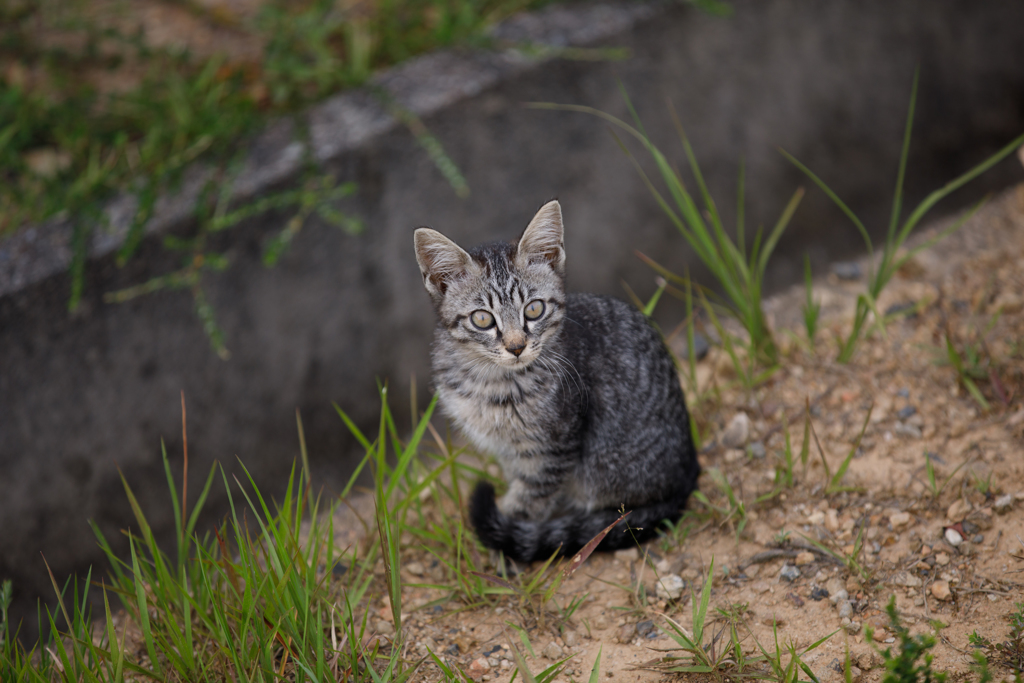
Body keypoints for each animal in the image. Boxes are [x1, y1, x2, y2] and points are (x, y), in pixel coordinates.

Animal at [411, 200, 700, 565]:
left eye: (534, 309)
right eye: (482, 318)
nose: (516, 346)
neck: (489, 380)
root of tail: (688, 474)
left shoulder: (553, 449)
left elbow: (528, 501)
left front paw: (505, 546)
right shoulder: (509, 451)